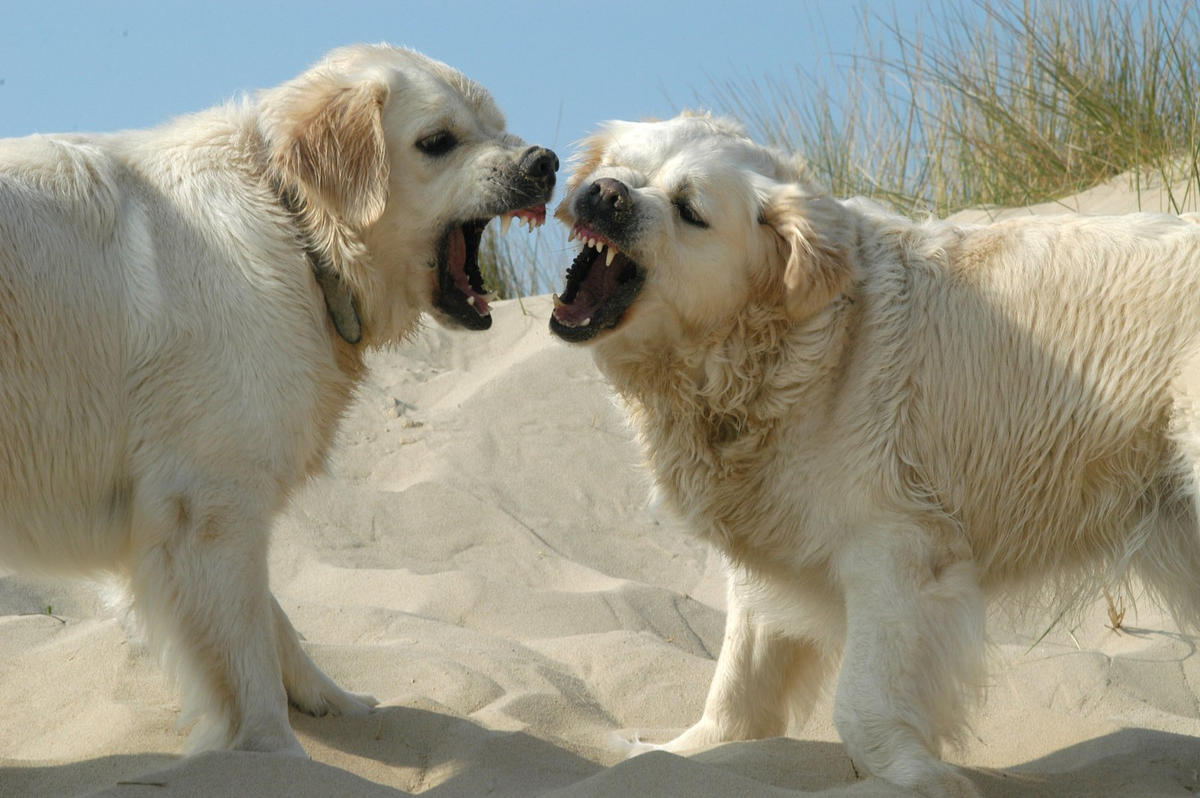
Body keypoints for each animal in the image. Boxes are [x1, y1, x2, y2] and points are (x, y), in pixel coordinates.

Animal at [0, 46, 554, 758]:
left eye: (500, 126)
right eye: (438, 141)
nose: (545, 162)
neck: (294, 225)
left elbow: (273, 620)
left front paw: (332, 702)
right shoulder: (213, 501)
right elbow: (247, 652)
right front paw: (275, 749)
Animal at [549, 113, 1200, 796]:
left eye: (688, 209)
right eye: (616, 166)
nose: (606, 194)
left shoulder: (897, 545)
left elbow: (860, 702)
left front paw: (918, 774)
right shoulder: (773, 525)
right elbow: (739, 681)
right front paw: (683, 751)